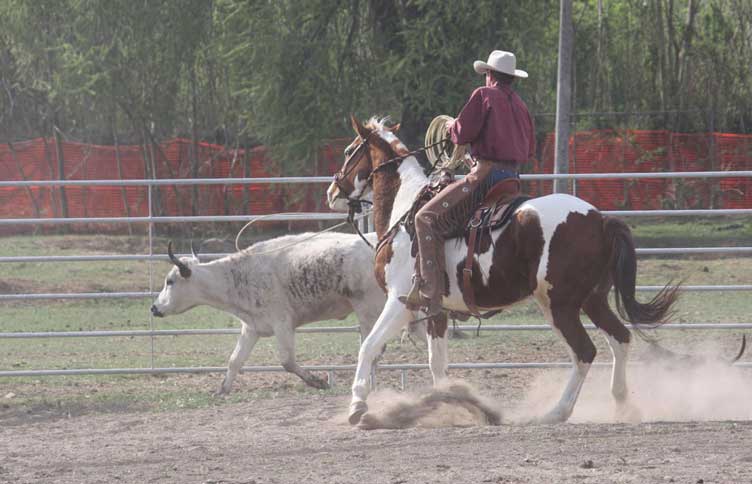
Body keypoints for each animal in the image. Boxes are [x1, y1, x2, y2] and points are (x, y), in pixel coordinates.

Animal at [326, 115, 680, 426]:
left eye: (347, 151)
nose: (331, 192)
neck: (405, 213)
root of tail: (600, 220)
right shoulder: (435, 309)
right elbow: (437, 363)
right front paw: (450, 404)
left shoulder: (400, 301)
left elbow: (369, 347)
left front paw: (357, 407)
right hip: (593, 299)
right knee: (619, 338)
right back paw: (622, 405)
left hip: (561, 304)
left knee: (584, 351)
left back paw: (557, 412)